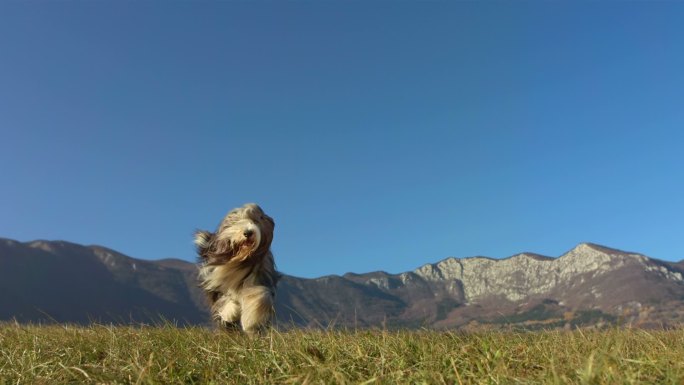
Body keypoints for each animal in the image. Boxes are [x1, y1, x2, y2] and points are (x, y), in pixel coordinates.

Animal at [194, 204, 280, 332]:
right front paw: (229, 314)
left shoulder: (261, 277)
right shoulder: (218, 283)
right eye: (237, 221)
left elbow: (260, 295)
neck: (241, 259)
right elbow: (226, 299)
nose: (248, 232)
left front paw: (251, 321)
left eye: (256, 220)